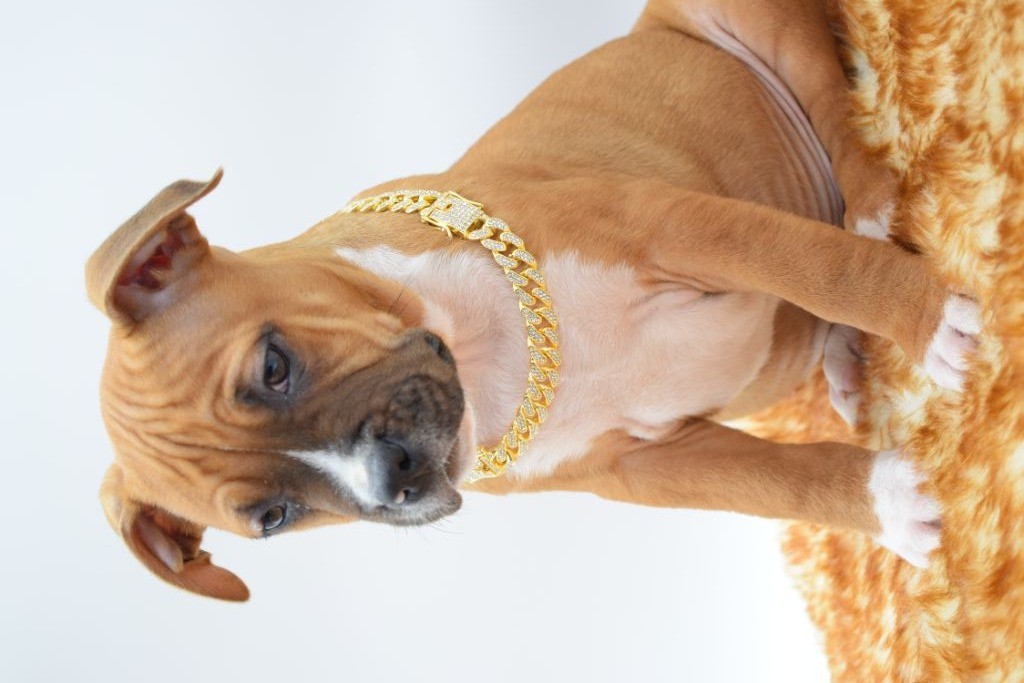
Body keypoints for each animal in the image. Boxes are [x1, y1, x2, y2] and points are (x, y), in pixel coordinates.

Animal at [86, 0, 980, 601]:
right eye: (271, 517)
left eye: (274, 366)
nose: (393, 478)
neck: (485, 352)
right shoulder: (642, 465)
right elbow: (774, 482)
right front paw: (891, 504)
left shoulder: (667, 225)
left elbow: (823, 268)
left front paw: (930, 323)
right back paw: (845, 360)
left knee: (839, 120)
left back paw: (872, 213)